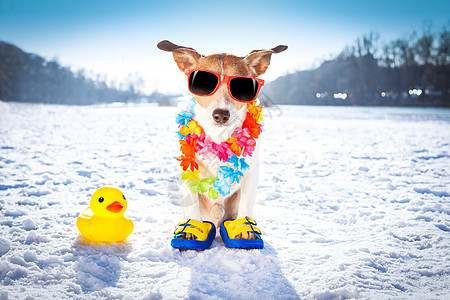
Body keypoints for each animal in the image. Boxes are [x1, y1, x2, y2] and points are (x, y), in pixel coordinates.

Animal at [156, 40, 286, 248]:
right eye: (203, 83)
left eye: (242, 86)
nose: (221, 114)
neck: (219, 137)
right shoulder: (187, 171)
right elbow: (192, 201)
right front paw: (192, 229)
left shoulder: (251, 174)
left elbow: (246, 203)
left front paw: (244, 229)